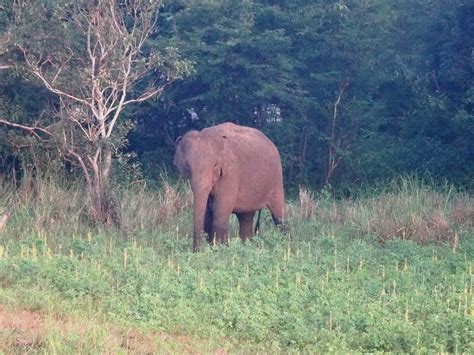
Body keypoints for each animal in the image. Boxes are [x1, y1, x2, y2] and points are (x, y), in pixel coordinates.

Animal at [174, 124, 286, 252]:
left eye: (215, 165)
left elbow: (221, 207)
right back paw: (246, 246)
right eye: (187, 165)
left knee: (279, 215)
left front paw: (220, 249)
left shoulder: (232, 172)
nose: (197, 250)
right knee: (246, 217)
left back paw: (286, 244)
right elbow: (208, 211)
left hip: (276, 178)